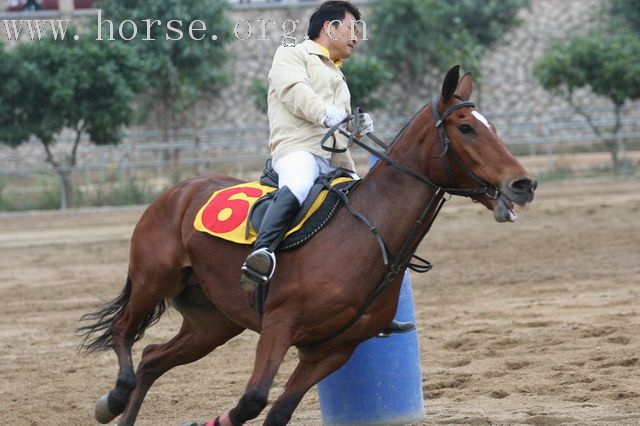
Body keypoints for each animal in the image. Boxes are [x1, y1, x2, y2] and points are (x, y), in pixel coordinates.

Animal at [79, 66, 536, 426]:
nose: (523, 183)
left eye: (492, 127)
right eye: (466, 127)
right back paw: (113, 399)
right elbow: (251, 402)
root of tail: (176, 192)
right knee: (124, 335)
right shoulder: (280, 324)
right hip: (153, 280)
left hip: (212, 322)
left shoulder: (332, 350)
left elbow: (277, 411)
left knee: (153, 358)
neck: (367, 234)